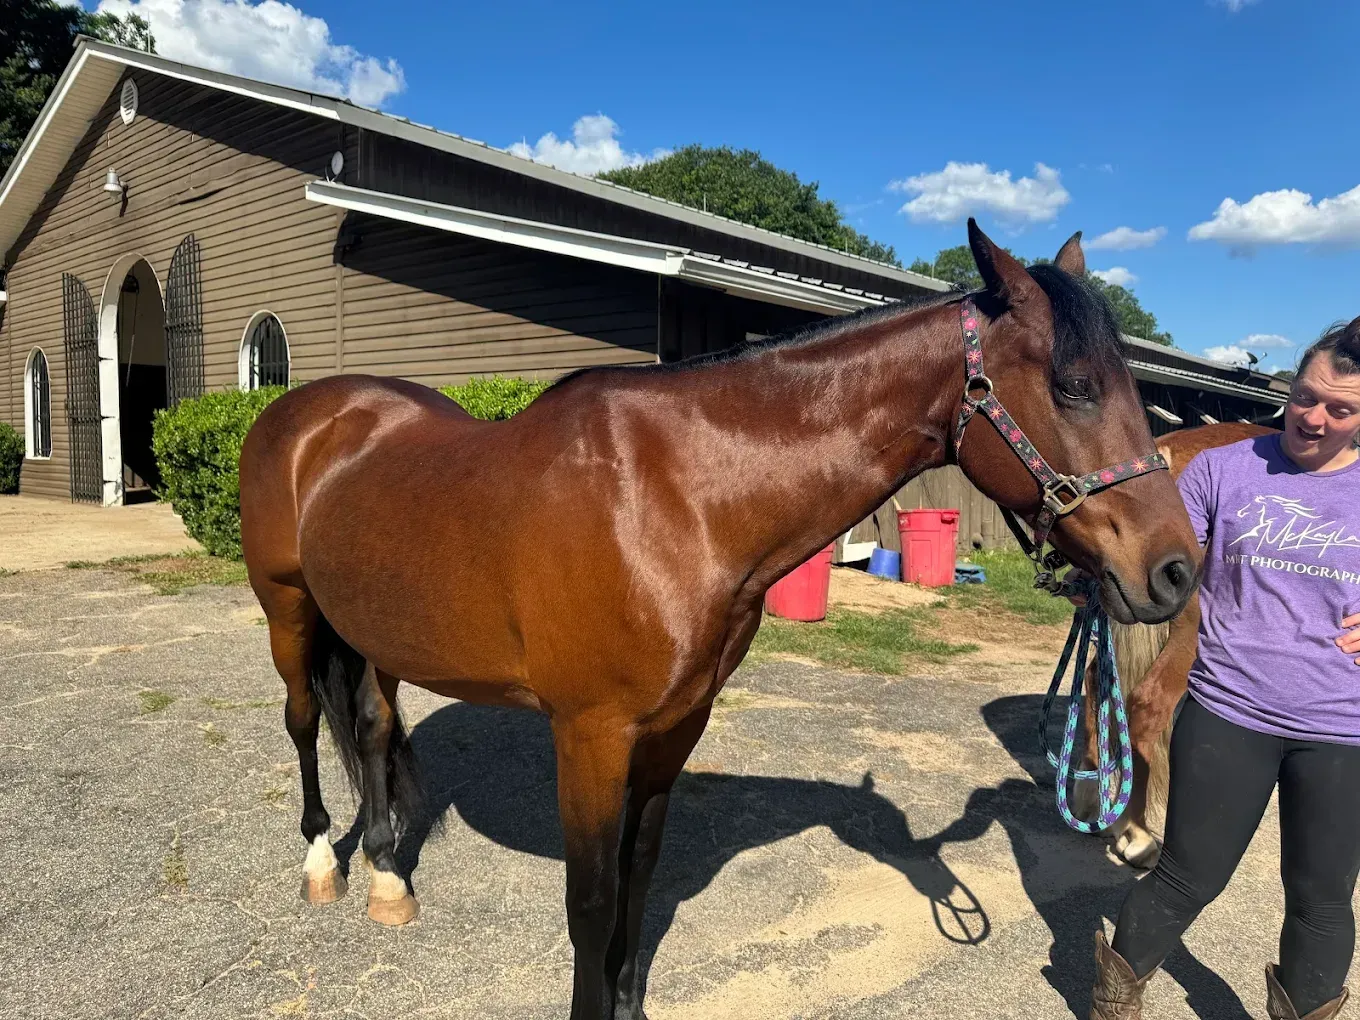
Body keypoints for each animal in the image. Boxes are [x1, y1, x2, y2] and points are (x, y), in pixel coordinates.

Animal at [237, 220, 1200, 1020]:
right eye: (1074, 386)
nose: (1176, 571)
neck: (675, 497)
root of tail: (307, 411)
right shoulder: (590, 734)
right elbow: (591, 903)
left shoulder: (676, 726)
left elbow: (640, 877)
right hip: (289, 612)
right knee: (302, 721)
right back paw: (324, 863)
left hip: (378, 631)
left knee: (370, 727)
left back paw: (388, 876)